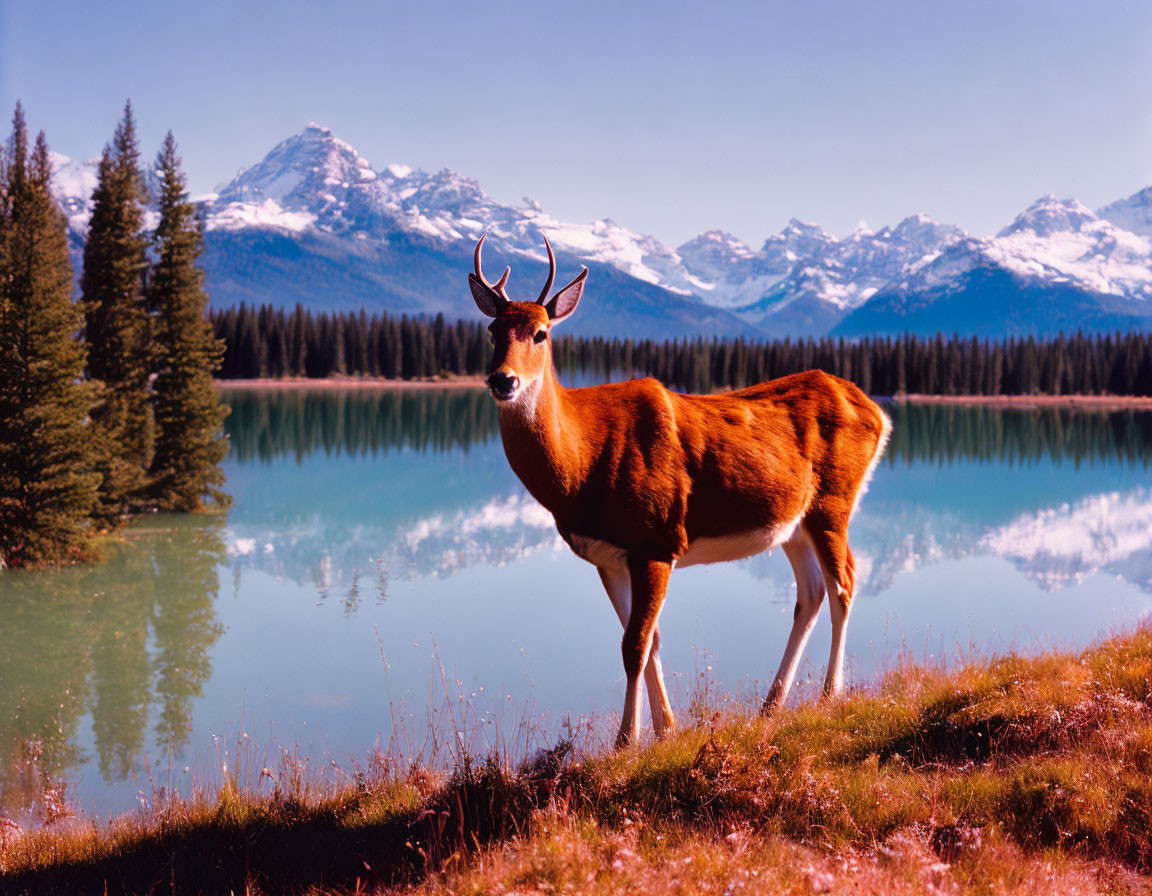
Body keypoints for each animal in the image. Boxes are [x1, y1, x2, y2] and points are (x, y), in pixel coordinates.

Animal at [467, 233, 889, 741]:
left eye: (541, 333)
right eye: (492, 332)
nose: (503, 380)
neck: (580, 468)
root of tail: (878, 411)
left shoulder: (657, 538)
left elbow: (634, 644)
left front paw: (627, 739)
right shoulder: (609, 556)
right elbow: (648, 638)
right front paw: (665, 728)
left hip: (834, 502)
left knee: (843, 583)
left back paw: (830, 694)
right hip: (793, 522)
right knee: (810, 593)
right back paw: (772, 704)